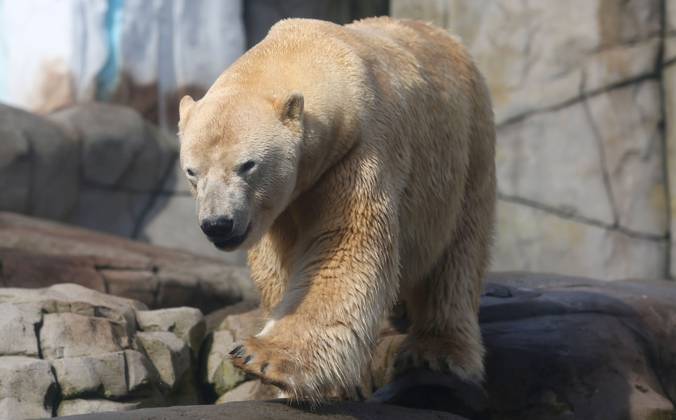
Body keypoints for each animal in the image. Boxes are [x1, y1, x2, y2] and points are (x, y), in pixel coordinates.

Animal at [178, 17, 496, 401]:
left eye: (247, 165)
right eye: (192, 171)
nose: (218, 224)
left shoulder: (360, 152)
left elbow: (343, 247)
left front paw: (261, 357)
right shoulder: (283, 203)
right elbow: (279, 267)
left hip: (466, 152)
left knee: (457, 257)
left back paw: (438, 352)